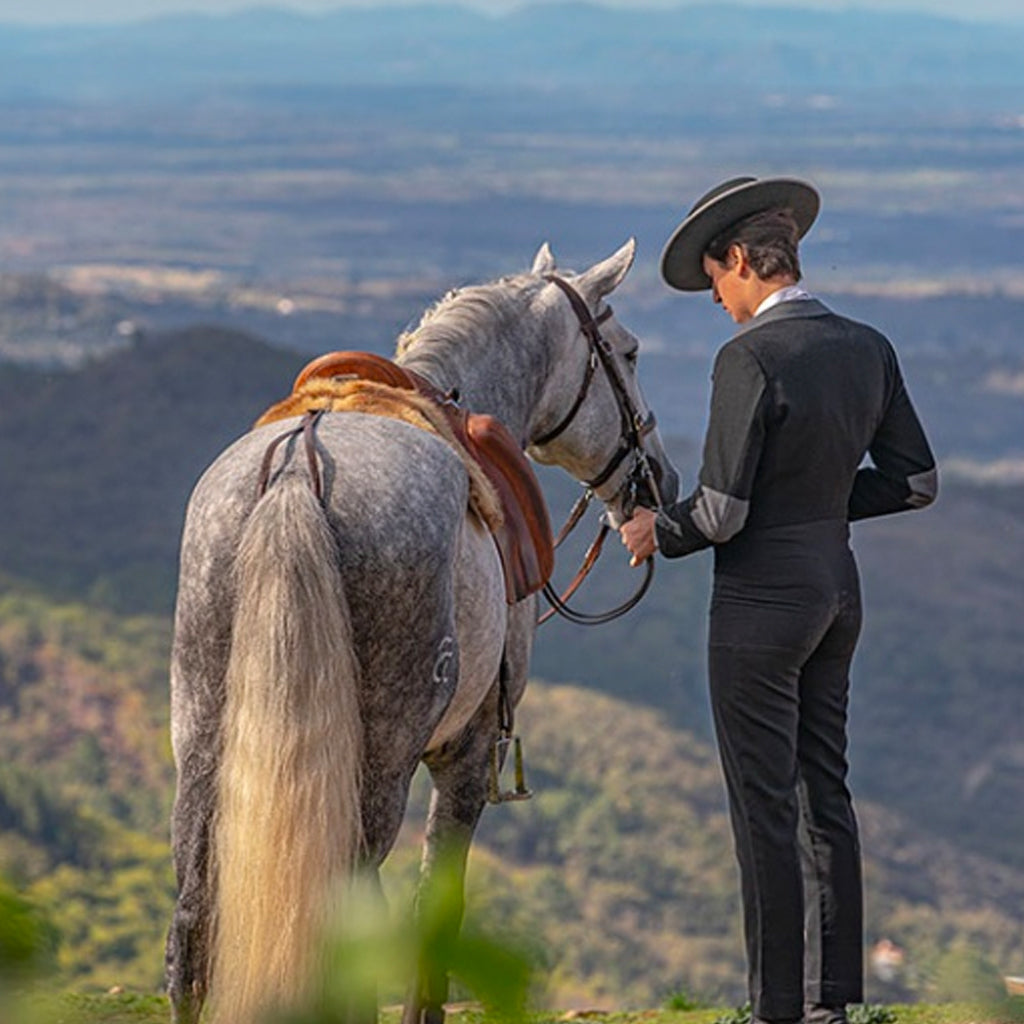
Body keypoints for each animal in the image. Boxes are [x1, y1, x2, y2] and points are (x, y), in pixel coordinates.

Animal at [165, 241, 679, 1024]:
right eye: (630, 351)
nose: (660, 483)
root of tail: (296, 477)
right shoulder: (465, 755)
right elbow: (434, 908)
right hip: (377, 758)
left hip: (200, 738)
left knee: (192, 927)